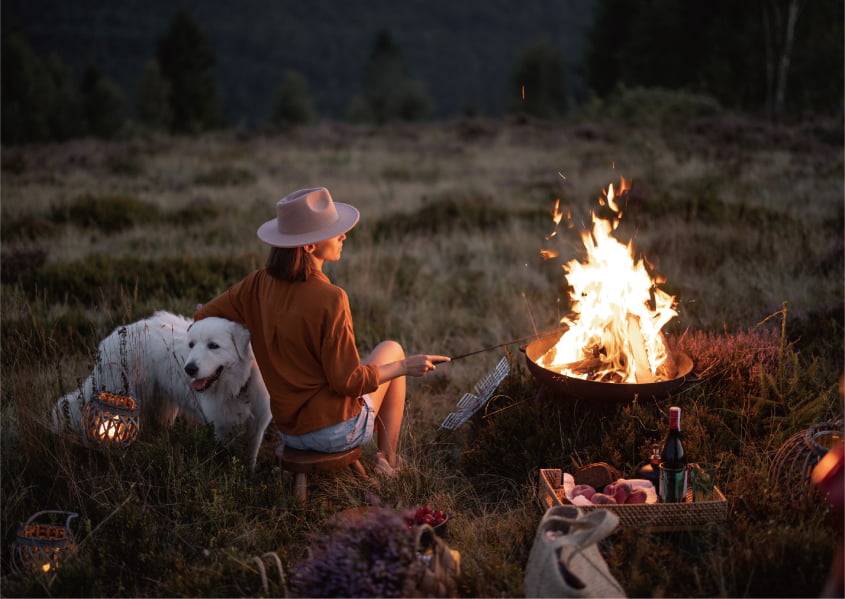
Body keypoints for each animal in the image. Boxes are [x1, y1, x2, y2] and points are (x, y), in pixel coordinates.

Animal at [52, 312, 270, 472]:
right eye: (191, 345)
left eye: (213, 346)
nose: (189, 369)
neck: (241, 384)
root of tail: (116, 334)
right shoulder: (221, 427)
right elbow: (224, 456)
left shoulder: (256, 427)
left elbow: (250, 457)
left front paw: (247, 476)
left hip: (162, 405)